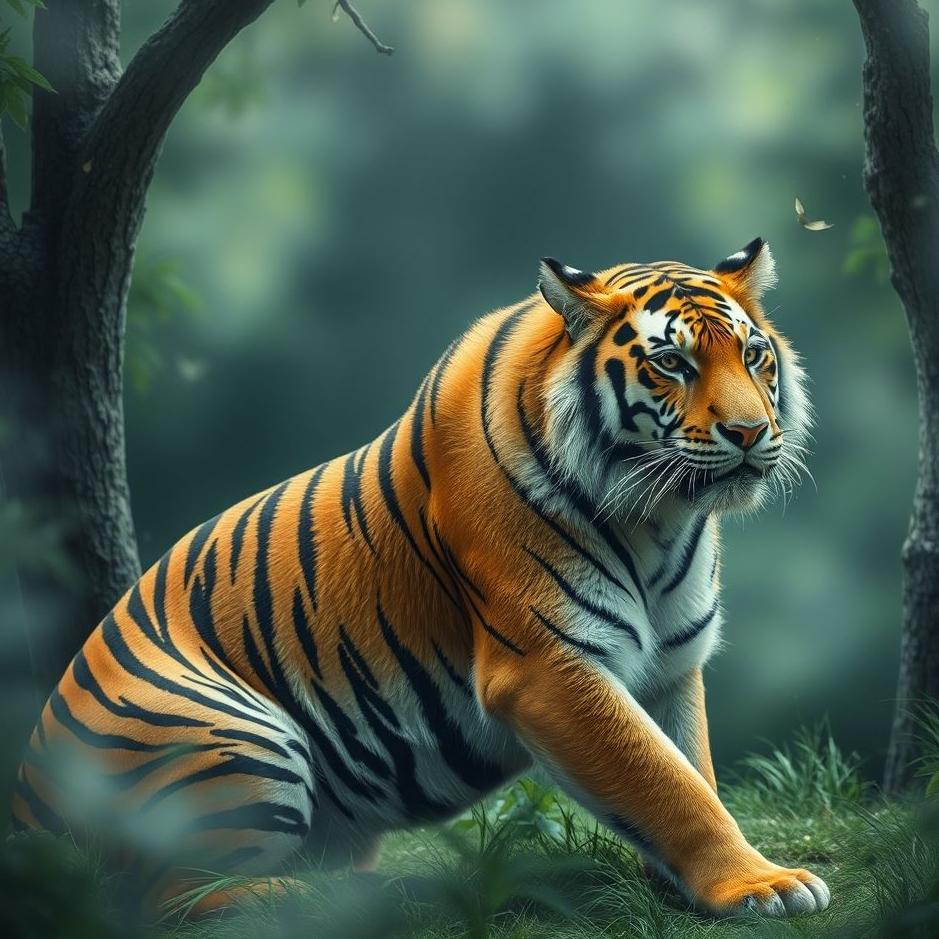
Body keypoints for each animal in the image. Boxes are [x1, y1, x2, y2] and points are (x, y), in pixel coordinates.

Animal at [11, 237, 828, 918]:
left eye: (753, 355)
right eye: (671, 364)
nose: (750, 433)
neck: (660, 518)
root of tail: (28, 799)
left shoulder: (671, 663)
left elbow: (689, 767)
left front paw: (692, 881)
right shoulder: (546, 666)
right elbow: (665, 782)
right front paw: (763, 885)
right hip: (233, 732)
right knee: (169, 893)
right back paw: (319, 896)